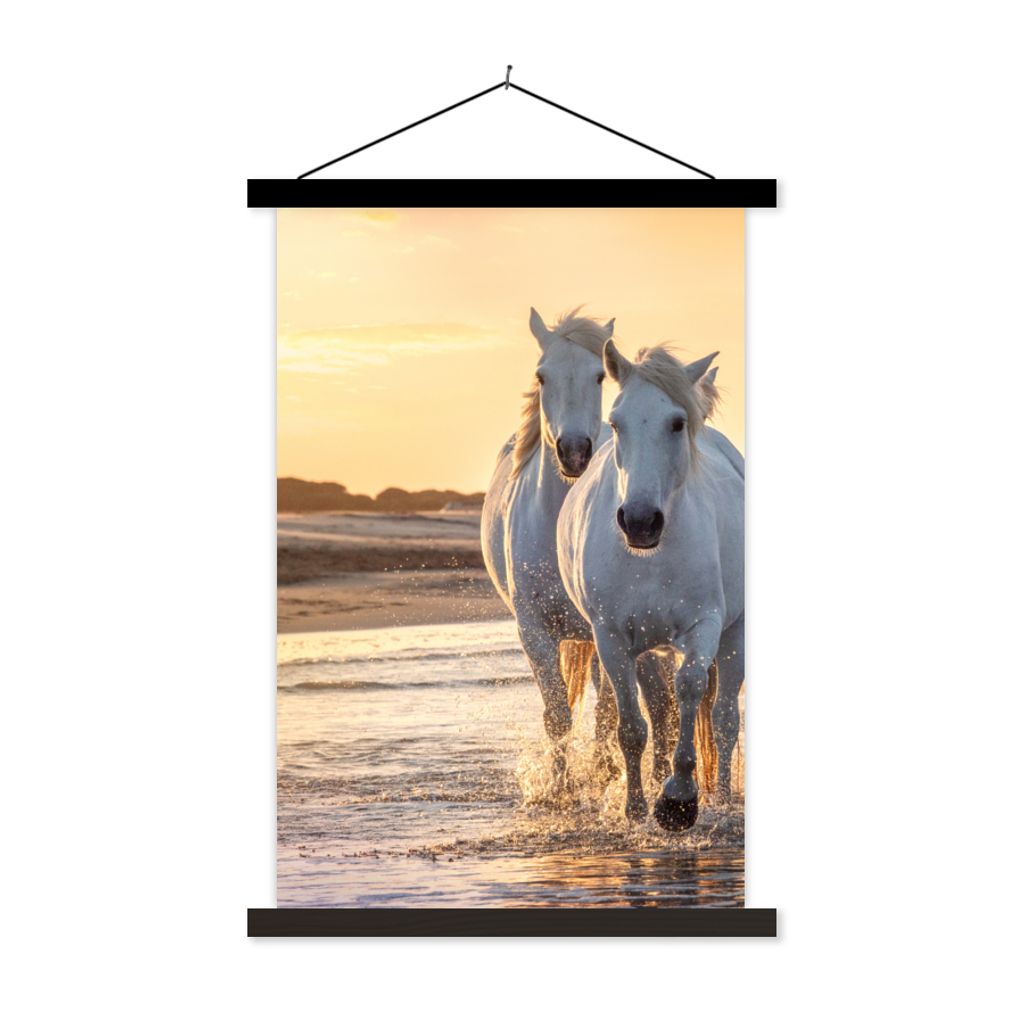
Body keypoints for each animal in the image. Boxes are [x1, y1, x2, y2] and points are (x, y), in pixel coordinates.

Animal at [481, 308, 673, 788]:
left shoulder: (608, 632)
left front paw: (601, 775)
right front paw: (560, 786)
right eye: (542, 375)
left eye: (599, 377)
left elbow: (608, 711)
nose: (573, 452)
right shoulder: (533, 631)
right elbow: (557, 715)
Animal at [557, 340, 744, 830]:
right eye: (616, 422)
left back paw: (722, 799)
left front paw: (679, 799)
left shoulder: (704, 626)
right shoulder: (612, 638)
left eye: (677, 422)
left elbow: (690, 690)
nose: (640, 522)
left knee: (724, 719)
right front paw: (638, 807)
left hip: (735, 635)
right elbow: (631, 726)